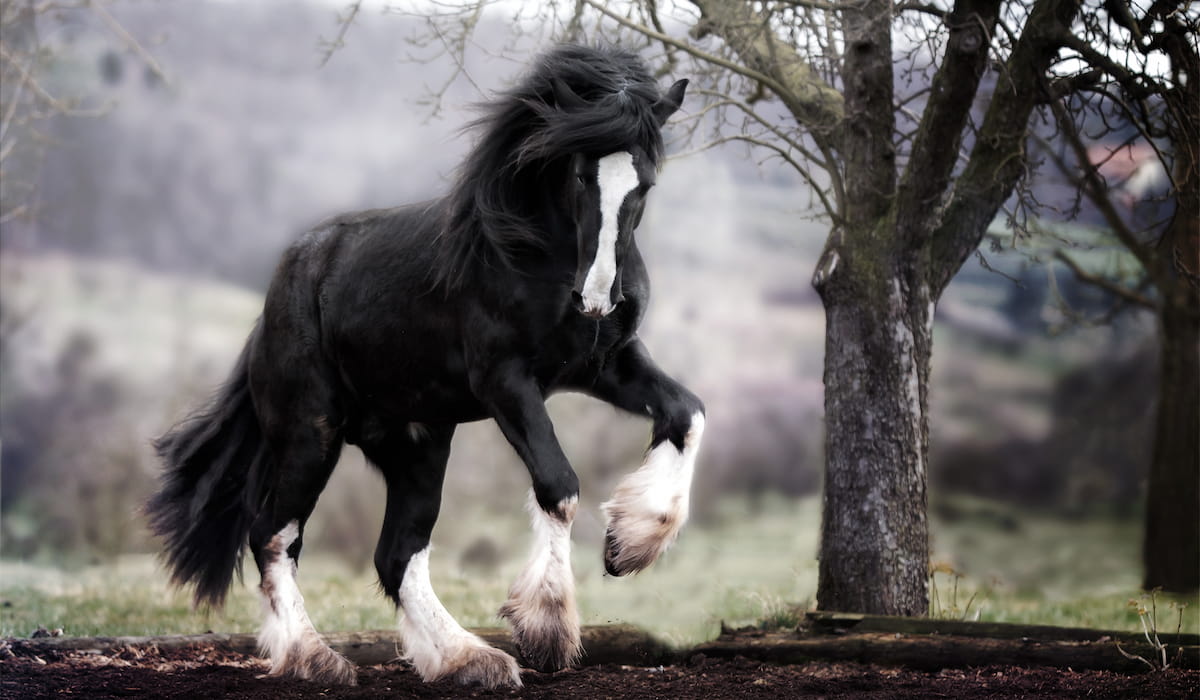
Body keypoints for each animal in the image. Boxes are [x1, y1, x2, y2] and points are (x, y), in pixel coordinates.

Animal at [145, 44, 703, 690]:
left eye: (645, 181)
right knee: (274, 535)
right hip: (310, 435)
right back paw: (315, 657)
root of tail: (276, 300)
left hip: (416, 443)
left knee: (396, 553)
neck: (534, 253)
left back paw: (470, 659)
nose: (596, 298)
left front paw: (631, 543)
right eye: (578, 173)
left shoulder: (603, 365)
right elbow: (559, 485)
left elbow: (687, 413)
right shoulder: (506, 382)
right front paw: (548, 627)